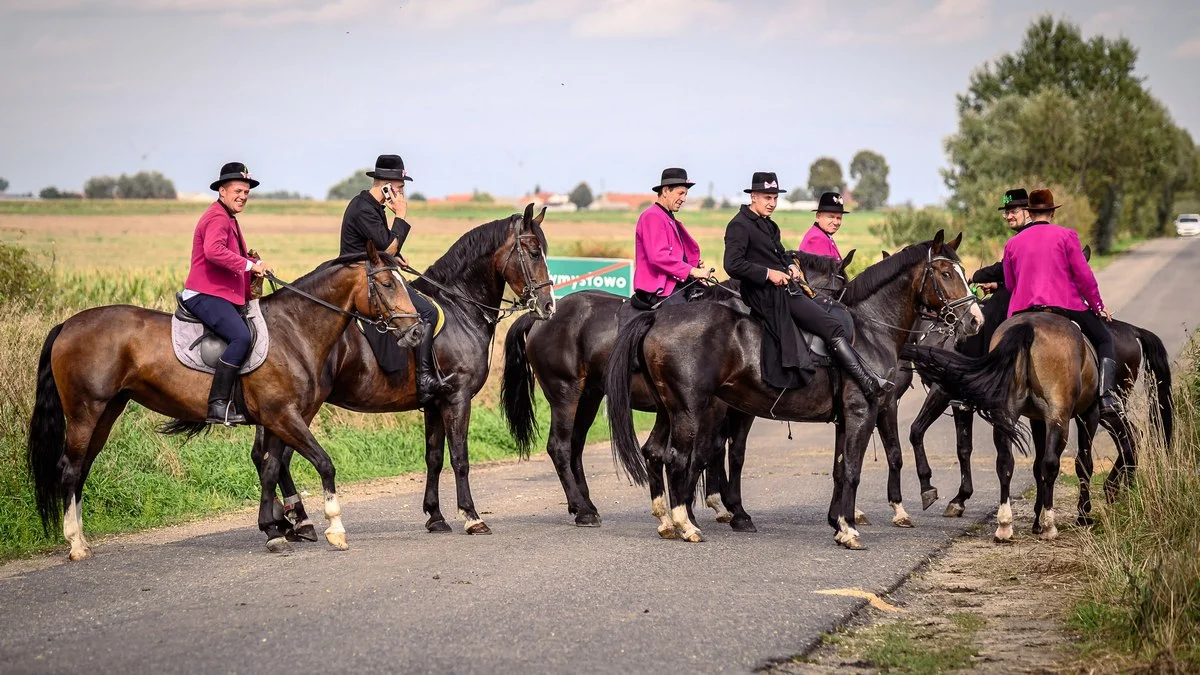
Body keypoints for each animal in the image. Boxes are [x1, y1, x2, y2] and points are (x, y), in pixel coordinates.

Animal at [25, 241, 424, 557]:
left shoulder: (278, 419)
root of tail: (68, 325)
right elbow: (323, 463)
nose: (417, 331)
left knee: (82, 469)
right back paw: (76, 544)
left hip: (107, 411)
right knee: (70, 468)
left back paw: (82, 539)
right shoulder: (284, 416)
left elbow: (270, 468)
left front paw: (274, 530)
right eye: (387, 283)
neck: (294, 330)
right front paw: (333, 529)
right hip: (85, 411)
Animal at [260, 201, 554, 538]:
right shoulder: (457, 398)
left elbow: (434, 457)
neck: (460, 308)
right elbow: (460, 457)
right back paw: (299, 521)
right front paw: (471, 516)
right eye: (534, 252)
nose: (548, 306)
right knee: (281, 460)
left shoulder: (435, 403)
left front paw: (435, 515)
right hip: (298, 408)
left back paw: (285, 522)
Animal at [496, 249, 854, 528]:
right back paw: (584, 511)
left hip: (589, 397)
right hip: (566, 395)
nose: (843, 324)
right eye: (840, 287)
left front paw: (706, 507)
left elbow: (716, 452)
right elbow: (712, 452)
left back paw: (583, 505)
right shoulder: (718, 408)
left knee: (575, 447)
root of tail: (542, 316)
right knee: (559, 447)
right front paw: (717, 509)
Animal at [604, 230, 979, 547]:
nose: (975, 320)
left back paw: (670, 520)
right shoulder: (865, 410)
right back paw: (686, 524)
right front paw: (851, 528)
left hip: (670, 409)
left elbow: (840, 469)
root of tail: (658, 317)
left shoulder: (846, 418)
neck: (871, 329)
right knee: (678, 458)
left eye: (962, 271)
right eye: (945, 274)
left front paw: (838, 522)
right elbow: (856, 468)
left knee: (657, 452)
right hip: (690, 410)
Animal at [902, 312, 1137, 540]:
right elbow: (1078, 463)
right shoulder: (1077, 415)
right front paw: (1078, 515)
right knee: (1053, 461)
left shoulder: (947, 394)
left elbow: (951, 443)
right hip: (1064, 415)